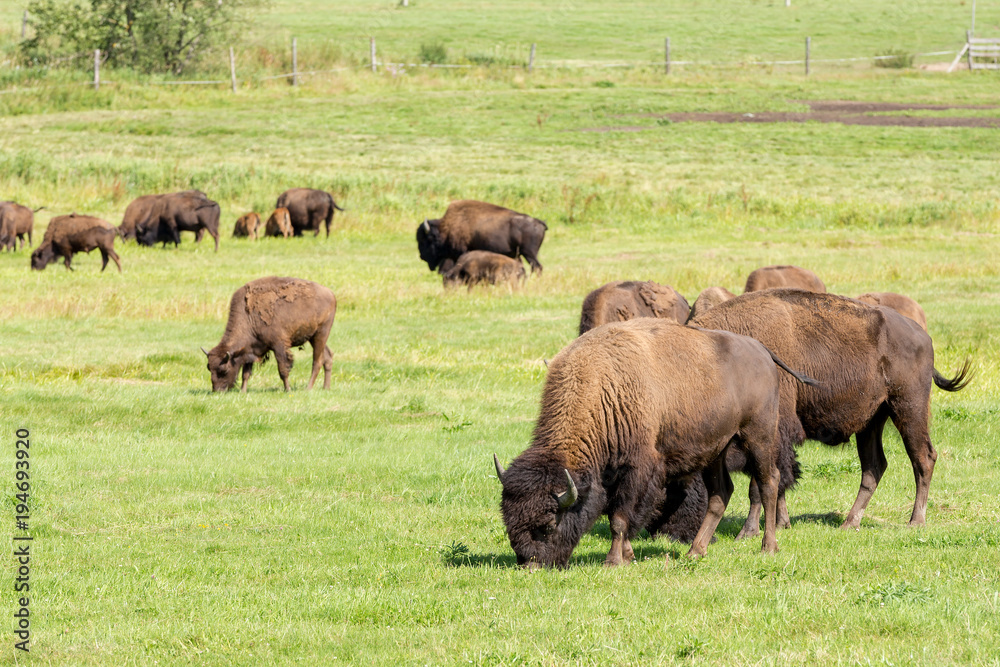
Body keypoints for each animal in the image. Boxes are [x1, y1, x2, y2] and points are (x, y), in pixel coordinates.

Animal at [201, 276, 338, 392]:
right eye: (209, 367)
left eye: (224, 370)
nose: (217, 390)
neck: (249, 317)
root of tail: (331, 294)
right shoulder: (250, 349)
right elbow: (246, 373)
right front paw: (243, 391)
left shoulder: (279, 346)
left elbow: (283, 369)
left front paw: (287, 390)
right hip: (312, 337)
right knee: (327, 356)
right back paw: (326, 387)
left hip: (321, 333)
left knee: (317, 361)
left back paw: (308, 388)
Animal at [414, 202, 548, 278]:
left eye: (427, 239)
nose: (421, 256)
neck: (447, 228)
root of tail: (539, 222)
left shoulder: (461, 252)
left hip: (529, 254)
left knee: (537, 267)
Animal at [660, 288, 972, 544]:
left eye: (678, 483)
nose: (668, 533)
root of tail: (922, 335)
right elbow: (778, 479)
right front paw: (780, 523)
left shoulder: (770, 433)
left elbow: (760, 484)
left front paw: (748, 532)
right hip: (872, 421)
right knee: (874, 467)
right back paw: (849, 523)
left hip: (908, 407)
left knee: (923, 457)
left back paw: (915, 521)